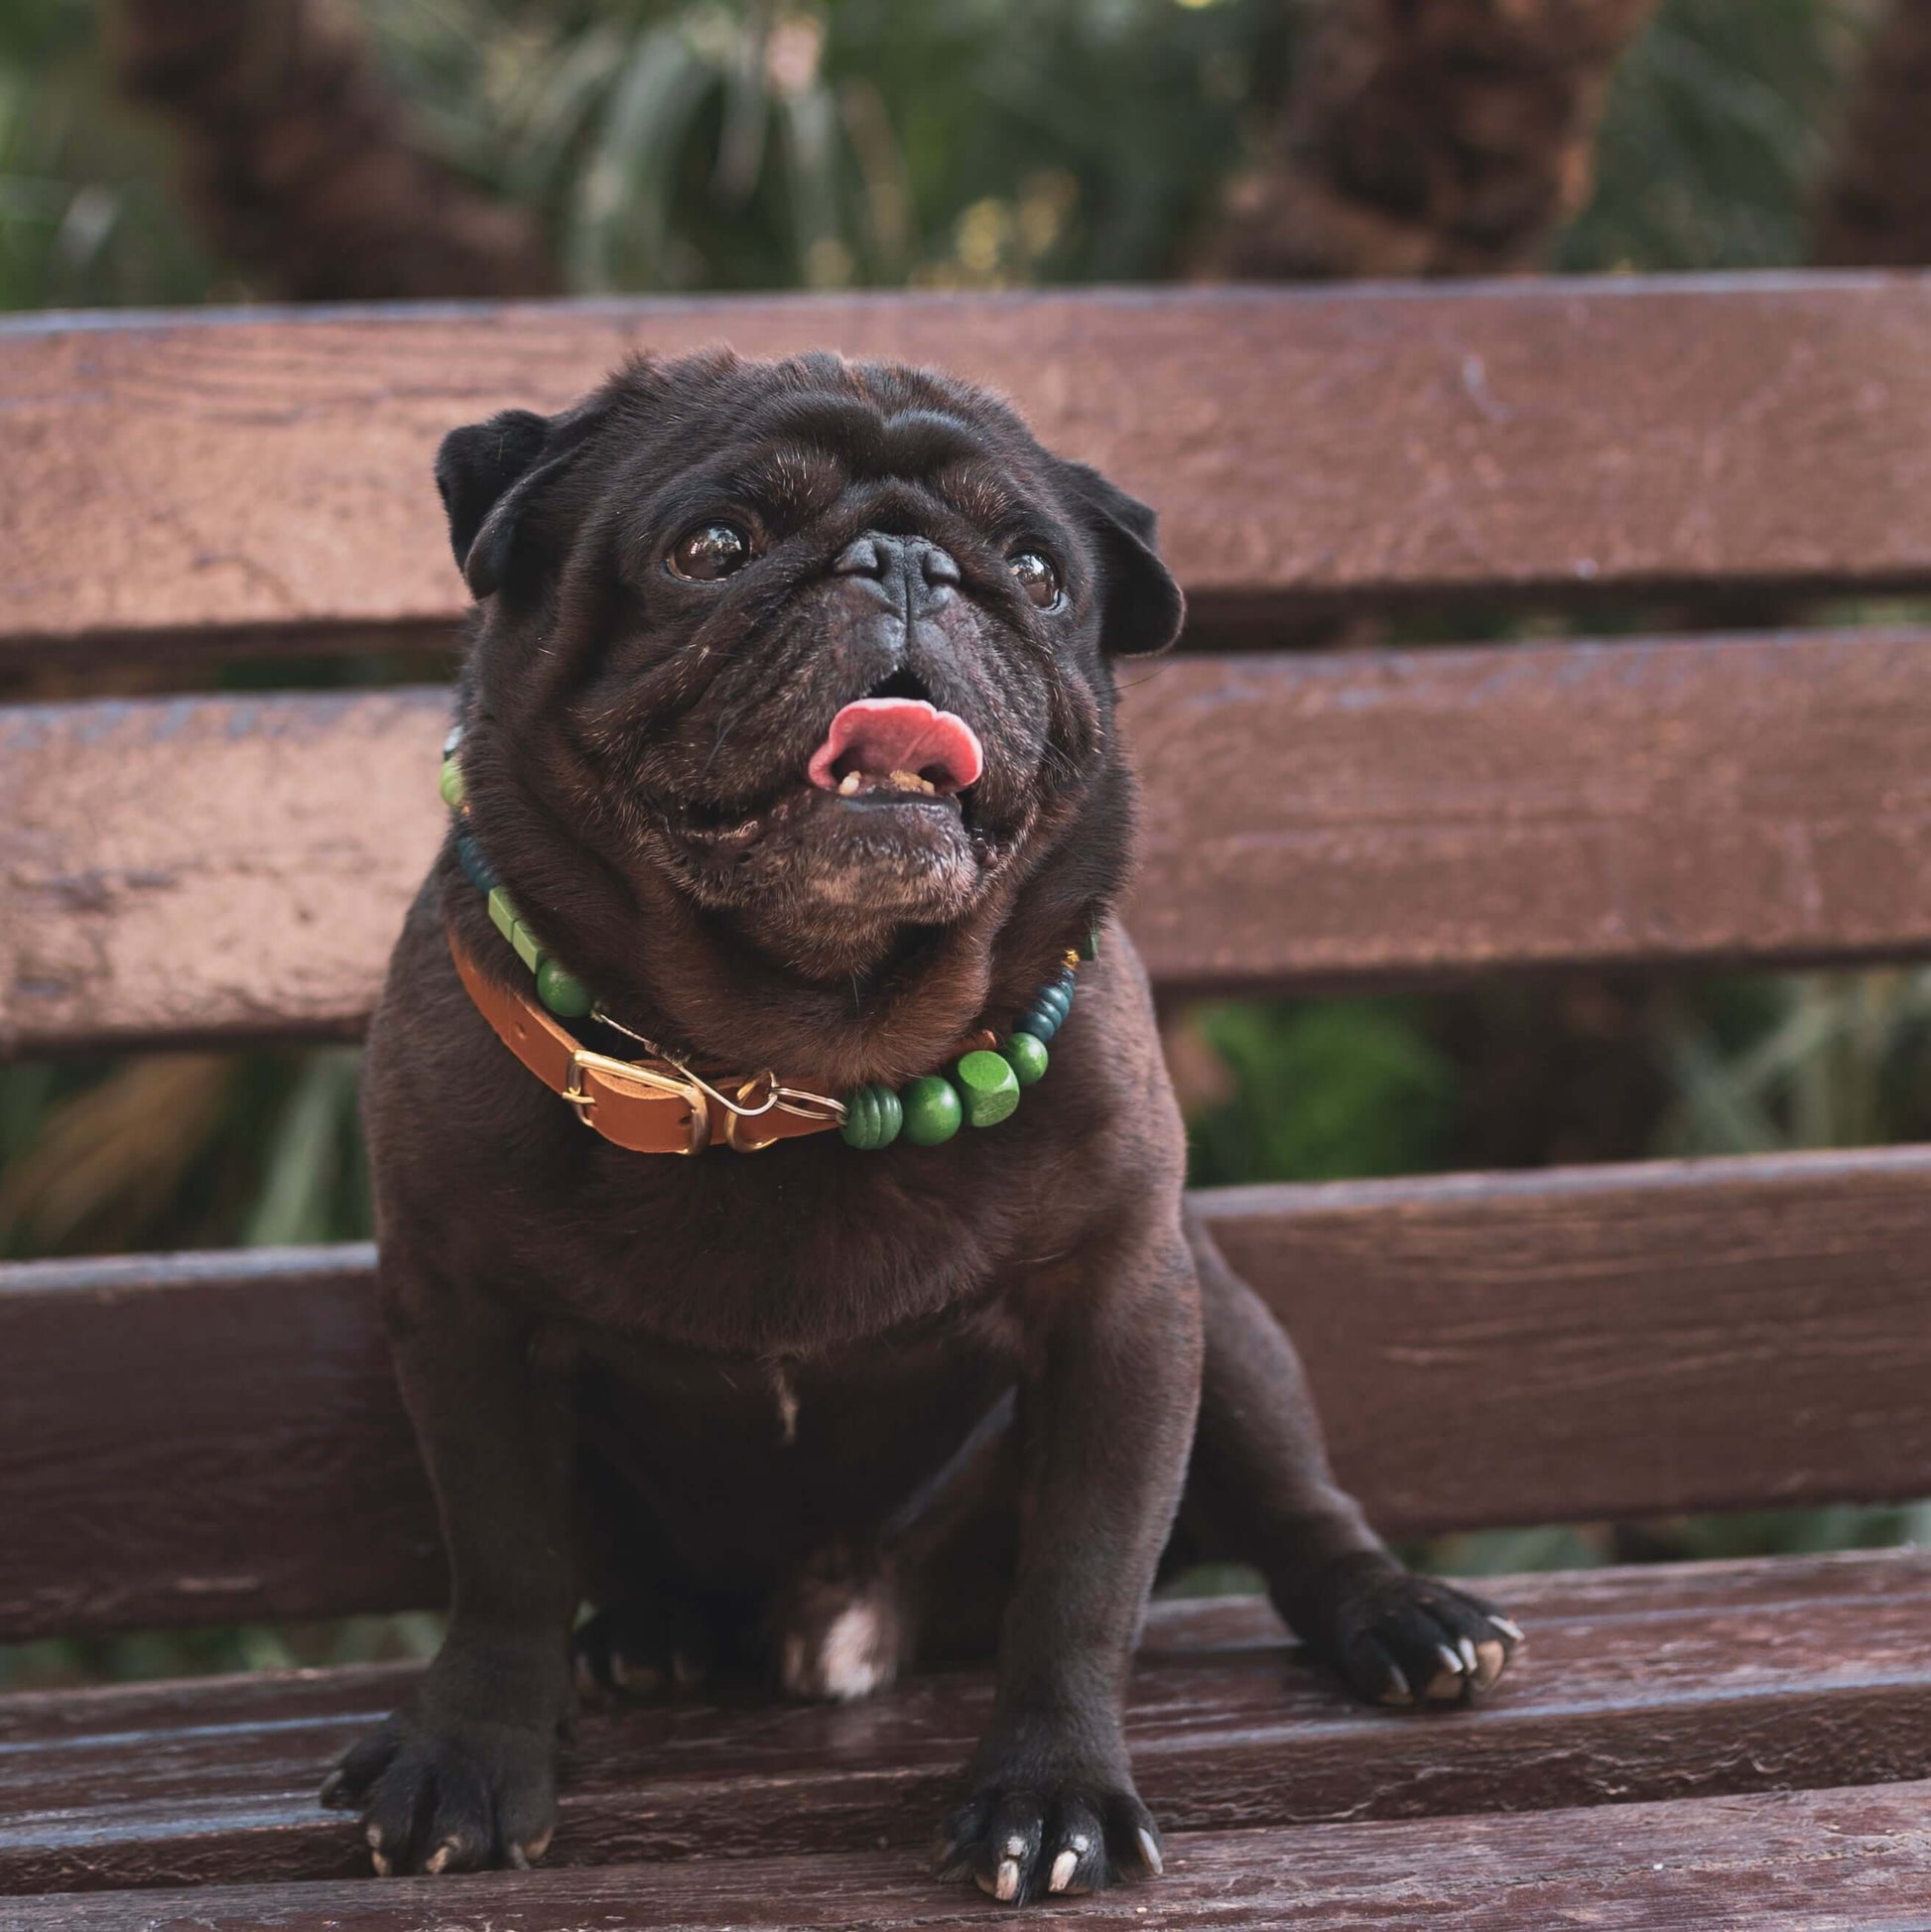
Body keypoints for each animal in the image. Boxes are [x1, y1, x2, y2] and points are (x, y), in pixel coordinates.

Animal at [324, 351, 1515, 1900]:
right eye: (710, 548)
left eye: (1038, 573)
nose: (908, 562)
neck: (795, 1056)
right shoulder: (462, 1315)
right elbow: (505, 1559)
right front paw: (468, 1754)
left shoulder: (1122, 1313)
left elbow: (1080, 1581)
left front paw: (1050, 1793)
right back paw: (647, 1636)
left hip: (1223, 1320)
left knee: (1296, 1505)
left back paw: (1401, 1615)